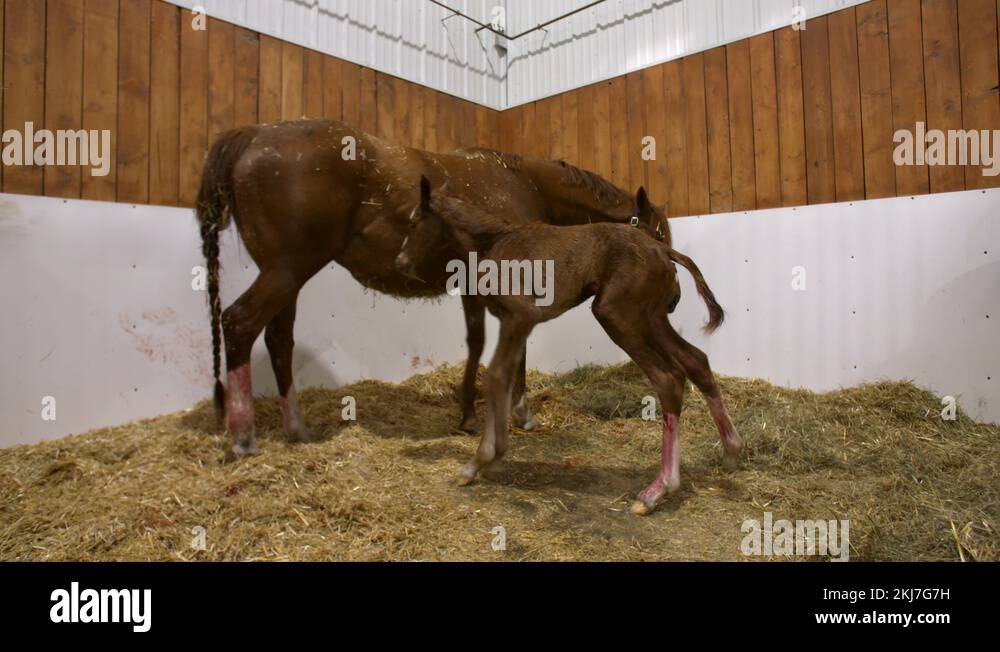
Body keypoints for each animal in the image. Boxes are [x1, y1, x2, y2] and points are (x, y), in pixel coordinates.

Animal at [196, 119, 671, 460]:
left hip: (286, 277)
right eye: (658, 237)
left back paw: (296, 428)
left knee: (278, 339)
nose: (670, 298)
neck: (523, 183)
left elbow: (477, 343)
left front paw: (470, 414)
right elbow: (504, 350)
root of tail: (255, 135)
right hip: (286, 270)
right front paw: (515, 413)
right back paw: (243, 436)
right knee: (238, 323)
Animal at [396, 176, 742, 515]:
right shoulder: (514, 322)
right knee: (695, 360)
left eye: (413, 224)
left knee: (668, 378)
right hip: (652, 318)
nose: (400, 262)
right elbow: (502, 376)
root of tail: (662, 253)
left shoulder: (520, 316)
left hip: (616, 315)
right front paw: (494, 453)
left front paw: (482, 459)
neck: (492, 242)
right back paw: (732, 450)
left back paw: (657, 491)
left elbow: (496, 376)